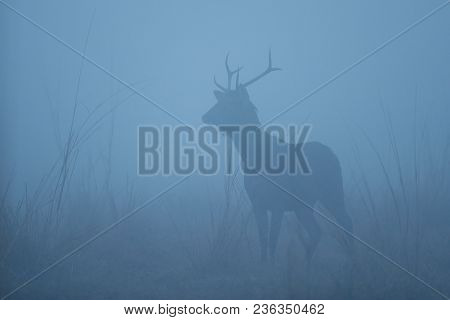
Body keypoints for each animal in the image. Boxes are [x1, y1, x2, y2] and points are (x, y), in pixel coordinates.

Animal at [202, 52, 354, 264]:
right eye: (219, 101)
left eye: (230, 103)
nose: (205, 116)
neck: (257, 159)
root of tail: (333, 154)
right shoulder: (257, 203)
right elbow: (263, 241)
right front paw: (264, 265)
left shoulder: (278, 202)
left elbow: (273, 242)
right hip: (303, 205)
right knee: (317, 232)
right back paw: (309, 265)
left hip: (333, 190)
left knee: (346, 222)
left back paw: (353, 261)